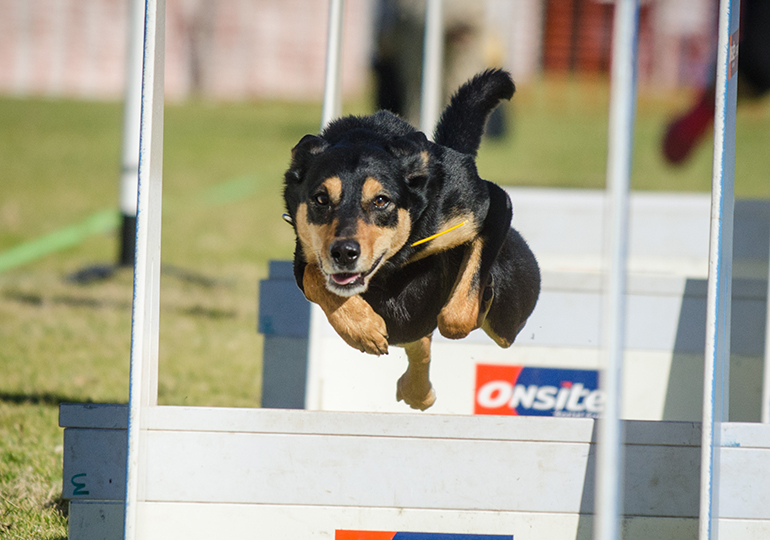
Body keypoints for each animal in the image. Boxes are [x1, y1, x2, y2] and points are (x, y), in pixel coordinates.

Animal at [282, 69, 540, 412]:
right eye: (320, 199)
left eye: (381, 201)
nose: (344, 253)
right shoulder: (306, 252)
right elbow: (315, 278)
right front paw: (363, 329)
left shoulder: (491, 203)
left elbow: (455, 316)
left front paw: (476, 304)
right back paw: (416, 388)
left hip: (510, 315)